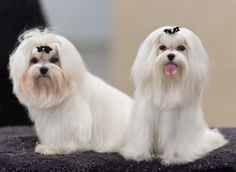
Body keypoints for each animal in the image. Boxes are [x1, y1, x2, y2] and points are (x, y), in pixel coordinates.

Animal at [121, 26, 228, 165]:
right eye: (162, 47)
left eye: (181, 48)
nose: (171, 55)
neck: (170, 84)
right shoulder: (146, 118)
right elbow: (143, 136)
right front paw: (139, 155)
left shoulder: (179, 123)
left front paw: (175, 158)